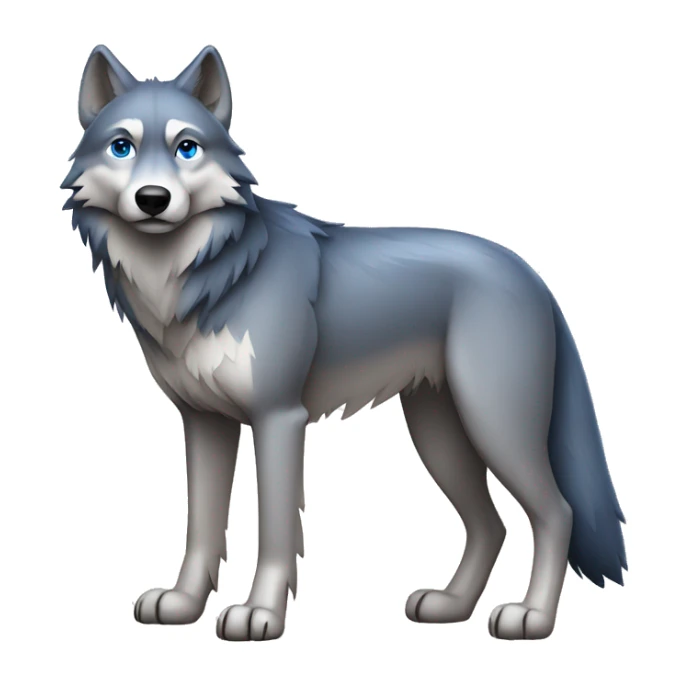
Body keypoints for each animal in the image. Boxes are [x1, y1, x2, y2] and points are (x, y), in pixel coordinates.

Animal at [62, 45, 627, 642]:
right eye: (121, 146)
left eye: (186, 147)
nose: (153, 199)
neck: (201, 279)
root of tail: (534, 274)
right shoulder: (204, 423)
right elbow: (202, 526)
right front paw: (183, 603)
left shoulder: (279, 419)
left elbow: (275, 531)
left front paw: (260, 614)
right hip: (439, 435)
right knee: (489, 525)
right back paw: (450, 605)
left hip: (496, 427)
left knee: (557, 513)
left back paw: (532, 616)